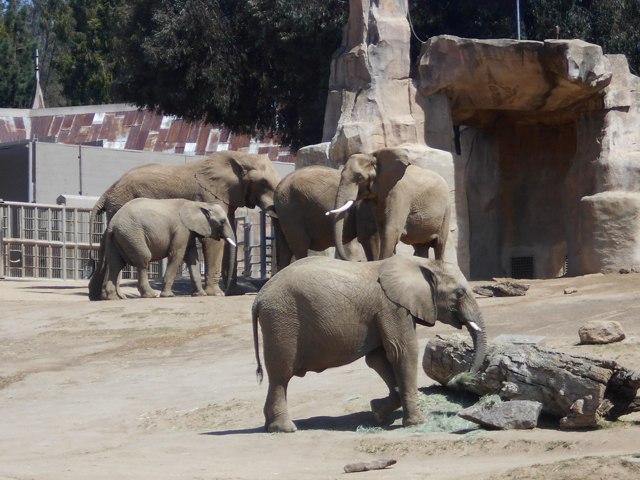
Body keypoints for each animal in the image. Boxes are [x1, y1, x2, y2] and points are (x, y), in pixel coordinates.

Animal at [92, 198, 237, 300]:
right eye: (223, 221)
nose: (226, 293)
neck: (199, 204)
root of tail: (112, 223)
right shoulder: (181, 229)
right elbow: (177, 255)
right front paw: (168, 295)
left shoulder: (188, 232)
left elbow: (192, 258)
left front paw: (200, 295)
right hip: (132, 234)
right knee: (143, 259)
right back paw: (151, 295)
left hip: (117, 237)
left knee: (116, 264)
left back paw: (113, 297)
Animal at [252, 254, 487, 433]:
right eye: (460, 293)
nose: (463, 378)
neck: (422, 263)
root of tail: (258, 297)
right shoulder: (392, 308)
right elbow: (403, 352)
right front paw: (419, 423)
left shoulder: (383, 313)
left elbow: (378, 358)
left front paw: (377, 412)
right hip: (282, 320)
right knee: (281, 374)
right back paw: (285, 429)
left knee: (277, 376)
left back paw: (270, 426)